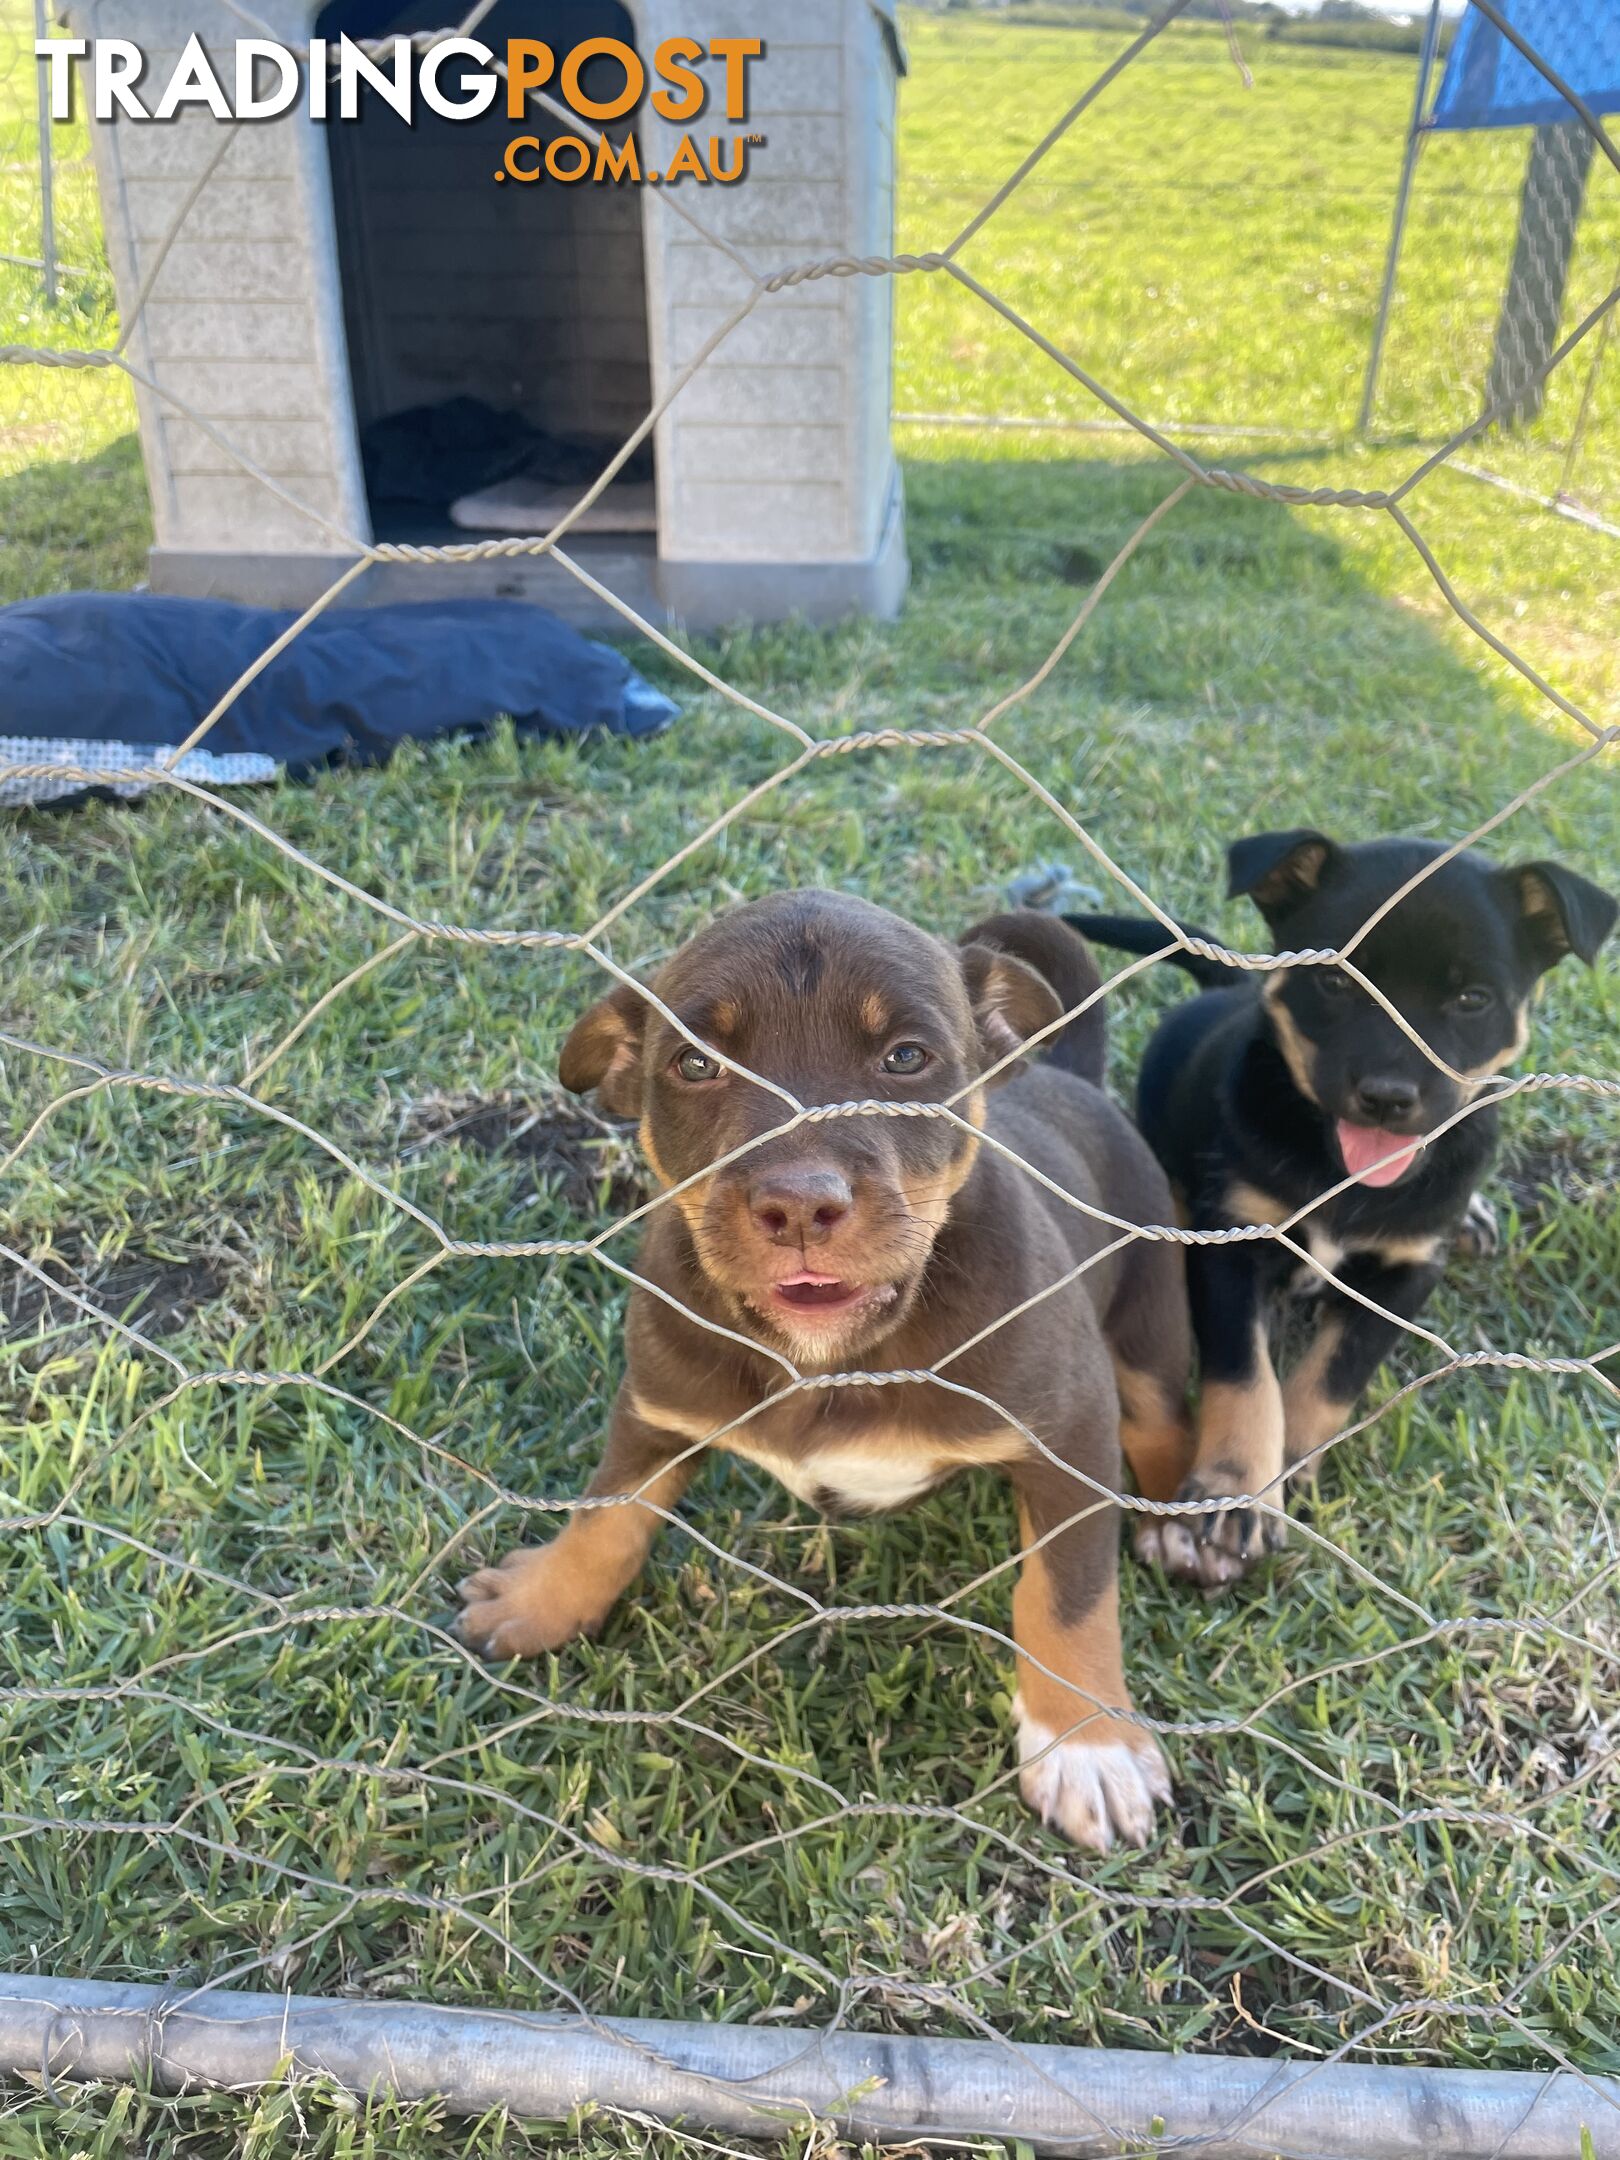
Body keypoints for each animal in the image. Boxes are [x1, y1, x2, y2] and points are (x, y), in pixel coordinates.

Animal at [457, 885, 1192, 1848]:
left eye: (906, 1058)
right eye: (694, 1063)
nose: (800, 1205)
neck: (838, 1360)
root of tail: (1072, 1074)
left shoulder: (1068, 1433)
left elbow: (1068, 1595)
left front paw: (1086, 1744)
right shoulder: (655, 1403)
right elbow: (607, 1514)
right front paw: (544, 1600)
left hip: (1147, 1329)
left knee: (1167, 1423)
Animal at [1071, 833, 1615, 1598]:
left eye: (1472, 999)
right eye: (1332, 983)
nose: (1387, 1097)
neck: (1344, 1177)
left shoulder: (1406, 1271)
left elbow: (1334, 1373)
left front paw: (1289, 1468)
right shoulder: (1235, 1242)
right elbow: (1246, 1376)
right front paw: (1230, 1499)